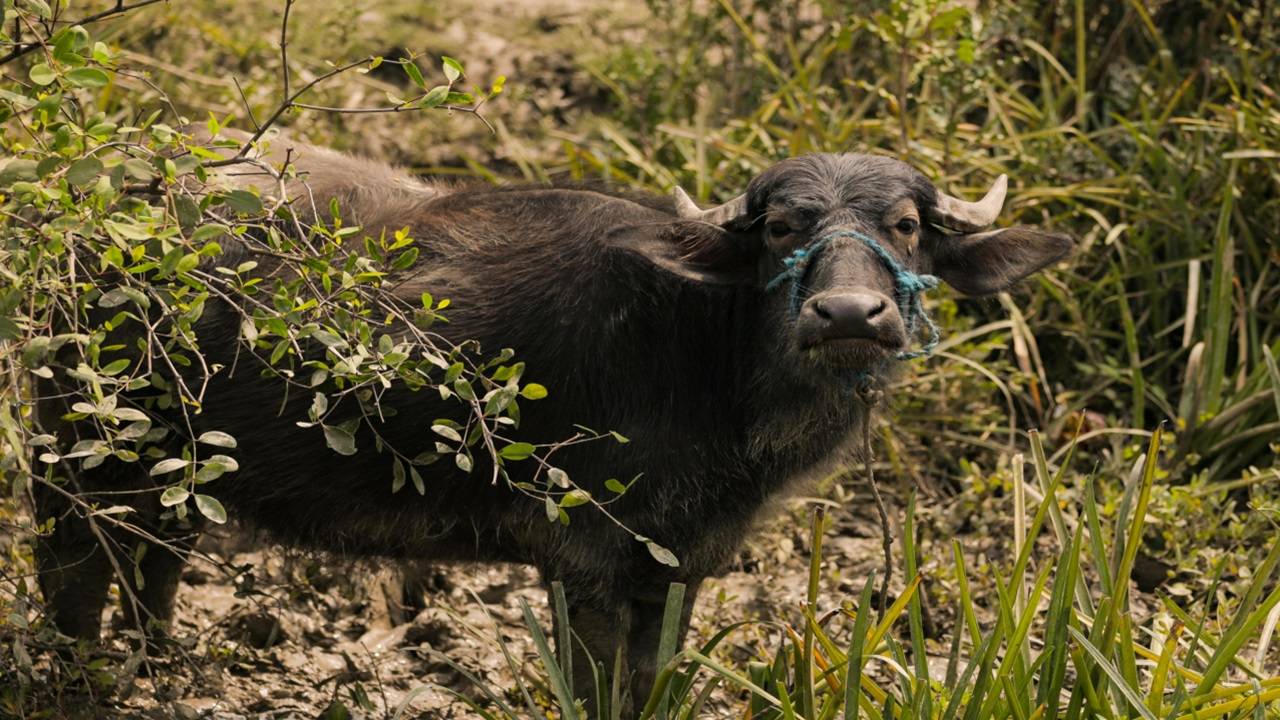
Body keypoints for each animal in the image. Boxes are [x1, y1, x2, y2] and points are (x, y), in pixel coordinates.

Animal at [32, 131, 1070, 707]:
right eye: (782, 227)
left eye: (905, 225)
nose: (850, 314)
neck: (698, 354)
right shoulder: (582, 564)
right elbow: (598, 690)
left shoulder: (680, 567)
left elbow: (648, 687)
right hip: (75, 446)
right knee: (74, 578)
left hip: (175, 468)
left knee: (156, 564)